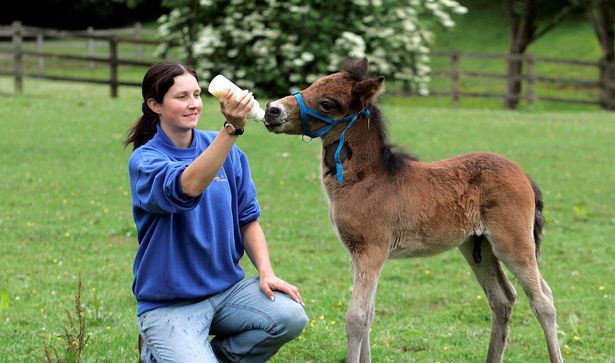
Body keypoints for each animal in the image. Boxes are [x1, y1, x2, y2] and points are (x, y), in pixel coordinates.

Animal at [264, 58, 564, 362]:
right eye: (310, 85)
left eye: (327, 103)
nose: (272, 110)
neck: (368, 179)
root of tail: (523, 174)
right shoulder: (358, 254)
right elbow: (368, 315)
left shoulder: (371, 251)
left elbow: (356, 318)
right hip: (477, 247)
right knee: (503, 299)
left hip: (512, 243)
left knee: (543, 300)